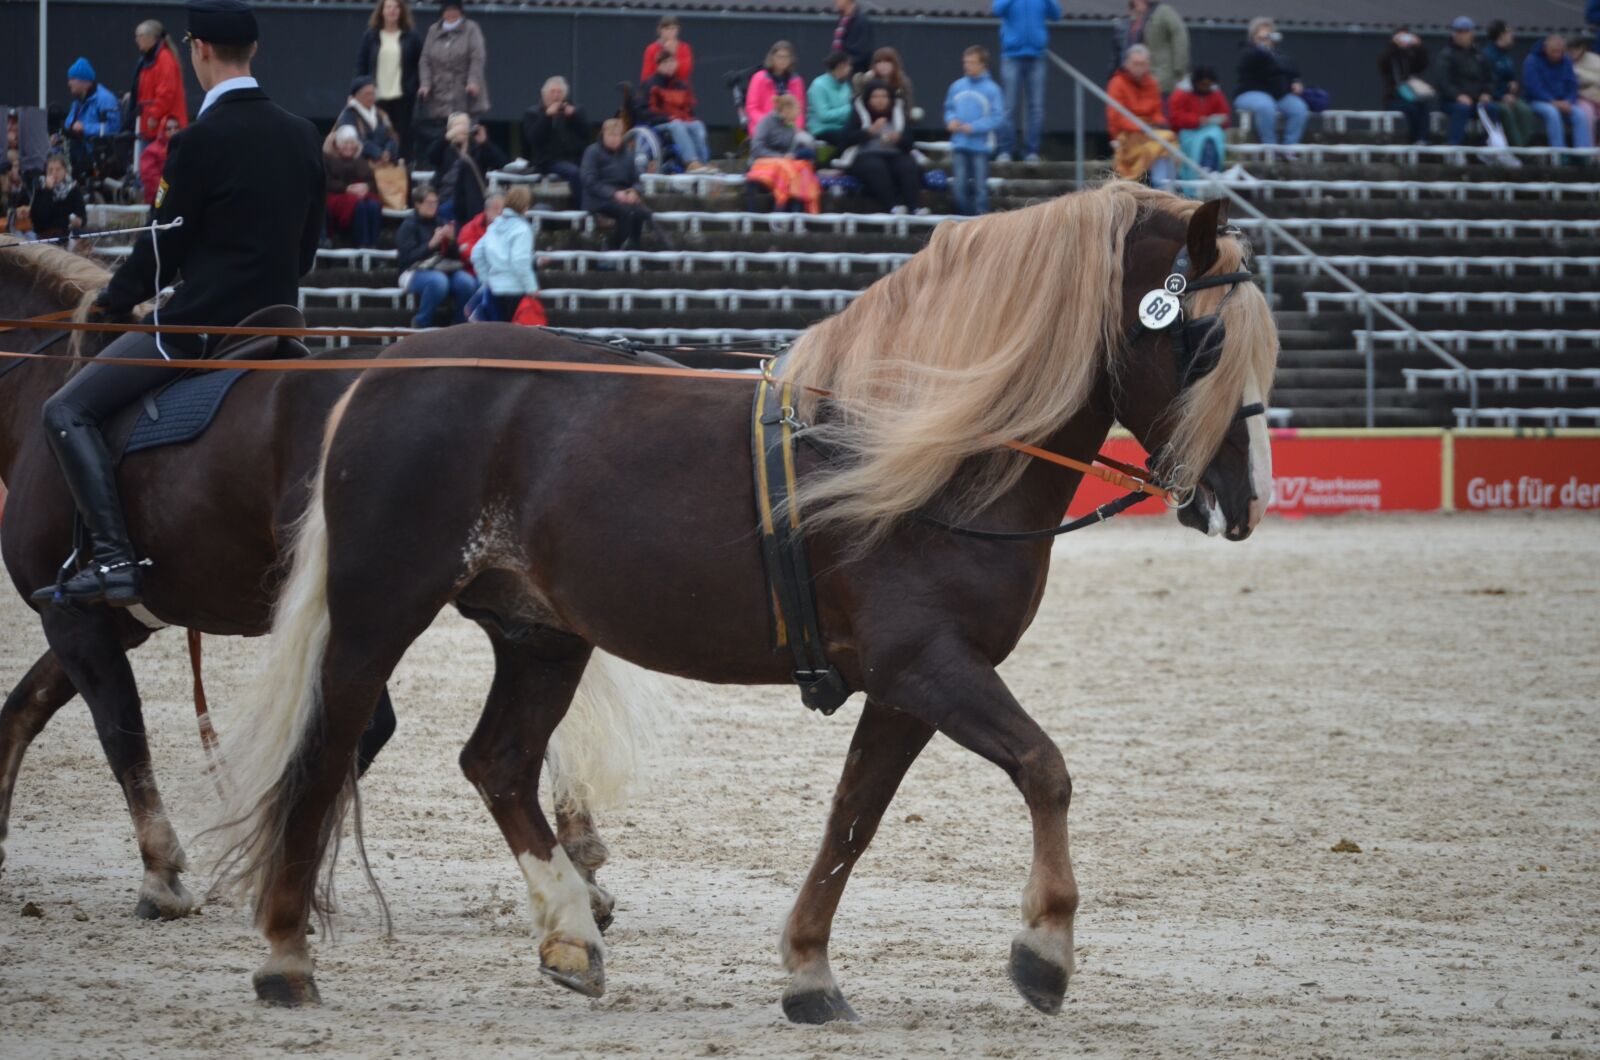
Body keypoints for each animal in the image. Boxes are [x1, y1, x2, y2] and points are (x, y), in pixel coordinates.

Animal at [0, 237, 650, 926]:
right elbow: (24, 709)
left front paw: (161, 874)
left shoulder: (74, 617)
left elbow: (119, 729)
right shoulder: (107, 621)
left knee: (359, 731)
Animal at [210, 184, 1278, 1019]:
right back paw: (285, 954)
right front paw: (1044, 949)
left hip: (540, 635)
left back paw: (571, 933)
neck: (922, 452)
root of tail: (380, 370)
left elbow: (853, 819)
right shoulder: (928, 668)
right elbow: (1044, 771)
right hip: (377, 617)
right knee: (327, 754)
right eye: (1204, 341)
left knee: (499, 763)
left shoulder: (907, 688)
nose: (1246, 501)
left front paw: (808, 969)